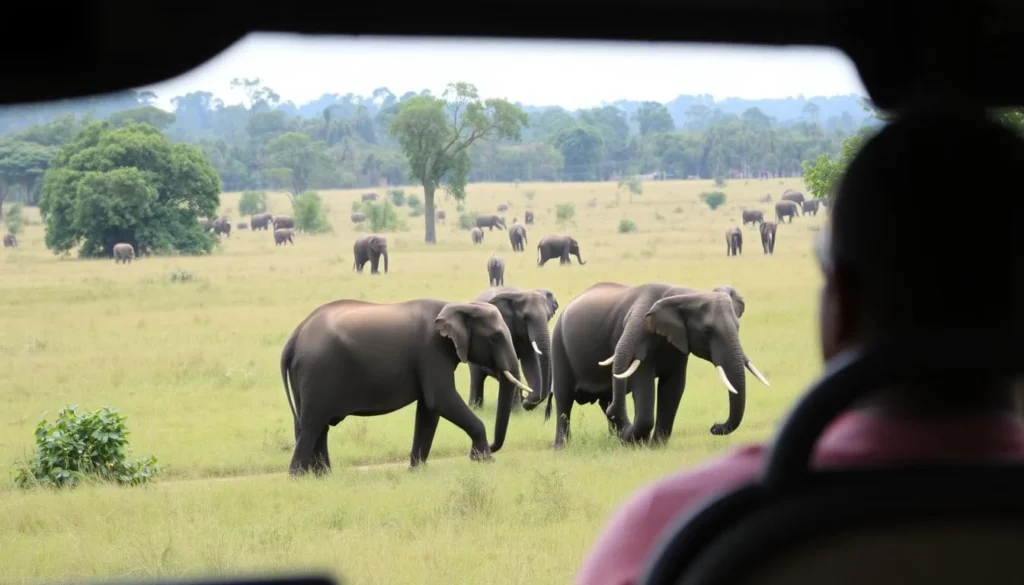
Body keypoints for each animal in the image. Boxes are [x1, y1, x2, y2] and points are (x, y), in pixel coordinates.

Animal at [280, 299, 532, 474]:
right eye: (496, 337)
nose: (491, 447)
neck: (459, 304)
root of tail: (294, 338)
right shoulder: (431, 350)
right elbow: (440, 400)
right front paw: (485, 461)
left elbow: (429, 410)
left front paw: (417, 470)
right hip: (317, 370)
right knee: (313, 423)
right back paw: (298, 477)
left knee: (315, 425)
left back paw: (322, 476)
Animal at [546, 282, 770, 448]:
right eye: (707, 331)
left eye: (738, 327)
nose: (714, 427)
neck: (683, 294)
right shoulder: (642, 339)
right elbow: (644, 386)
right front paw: (640, 443)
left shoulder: (677, 342)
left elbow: (673, 387)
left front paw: (653, 446)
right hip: (558, 343)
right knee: (564, 399)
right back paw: (563, 447)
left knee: (604, 398)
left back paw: (616, 437)